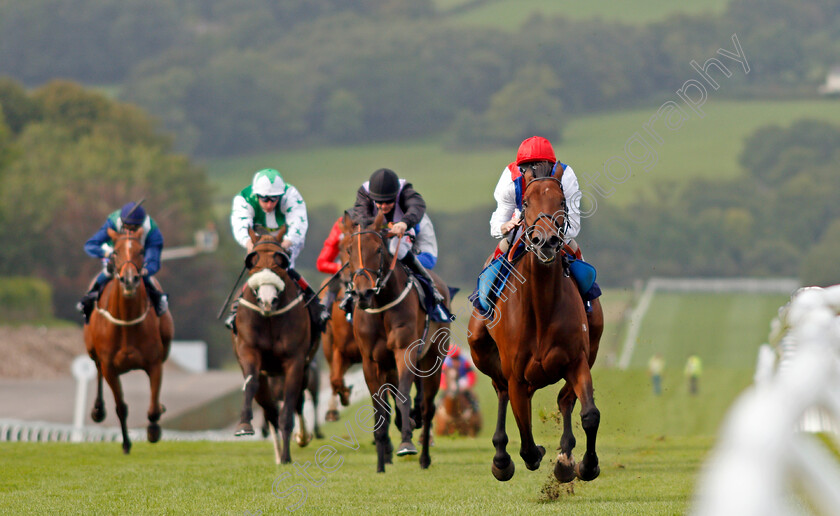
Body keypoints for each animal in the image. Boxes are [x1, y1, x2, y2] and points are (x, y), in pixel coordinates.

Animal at [83, 228, 174, 454]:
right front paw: (125, 443)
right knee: (96, 369)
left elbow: (153, 407)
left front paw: (153, 430)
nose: (130, 279)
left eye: (141, 251)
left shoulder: (154, 363)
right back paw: (98, 410)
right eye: (115, 251)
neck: (126, 321)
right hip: (92, 350)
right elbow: (121, 407)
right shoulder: (110, 367)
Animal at [231, 226, 316, 464]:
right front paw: (244, 425)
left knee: (298, 401)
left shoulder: (295, 361)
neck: (269, 317)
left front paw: (287, 455)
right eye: (252, 262)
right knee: (269, 409)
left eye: (281, 262)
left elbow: (289, 407)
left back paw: (301, 437)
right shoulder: (249, 352)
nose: (267, 300)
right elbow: (252, 386)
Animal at [346, 210, 452, 472]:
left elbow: (404, 396)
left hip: (433, 360)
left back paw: (424, 456)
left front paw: (406, 442)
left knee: (428, 407)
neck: (381, 305)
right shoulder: (371, 361)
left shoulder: (405, 351)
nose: (362, 293)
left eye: (378, 250)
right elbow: (379, 407)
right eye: (349, 250)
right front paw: (380, 462)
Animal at [466, 173, 604, 484]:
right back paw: (501, 459)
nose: (547, 241)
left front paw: (586, 465)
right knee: (501, 391)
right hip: (480, 347)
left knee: (565, 400)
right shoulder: (516, 375)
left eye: (562, 201)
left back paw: (565, 457)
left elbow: (589, 414)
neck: (541, 307)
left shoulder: (577, 361)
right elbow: (527, 441)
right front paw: (531, 454)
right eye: (526, 203)